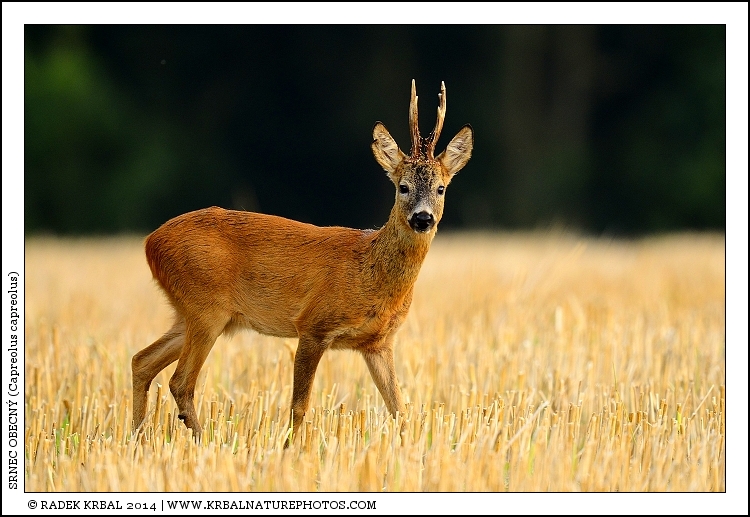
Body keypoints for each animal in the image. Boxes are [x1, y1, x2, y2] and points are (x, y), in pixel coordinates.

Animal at [131, 80, 473, 448]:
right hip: (206, 307)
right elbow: (300, 406)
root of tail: (150, 242)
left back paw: (136, 439)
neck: (370, 273)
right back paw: (206, 443)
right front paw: (291, 450)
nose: (422, 218)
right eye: (403, 187)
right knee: (180, 381)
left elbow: (398, 407)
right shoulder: (313, 325)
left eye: (441, 188)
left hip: (193, 313)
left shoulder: (379, 343)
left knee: (142, 361)